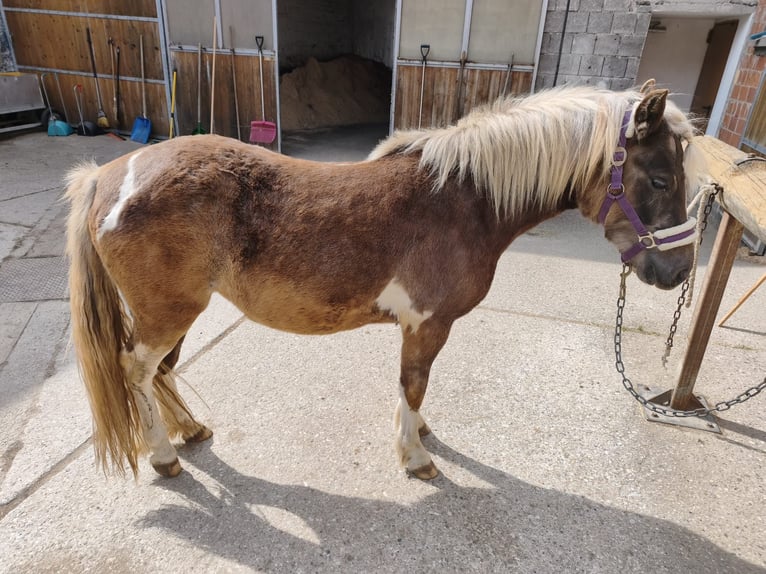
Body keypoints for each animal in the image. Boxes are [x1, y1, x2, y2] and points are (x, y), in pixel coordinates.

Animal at [65, 83, 701, 481]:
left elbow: (414, 390)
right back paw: (162, 456)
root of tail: (108, 174)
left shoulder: (422, 326)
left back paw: (189, 431)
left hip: (175, 312)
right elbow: (413, 384)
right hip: (167, 312)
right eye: (662, 179)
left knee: (161, 372)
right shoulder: (427, 324)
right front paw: (415, 456)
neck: (464, 200)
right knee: (137, 371)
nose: (677, 273)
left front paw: (417, 432)